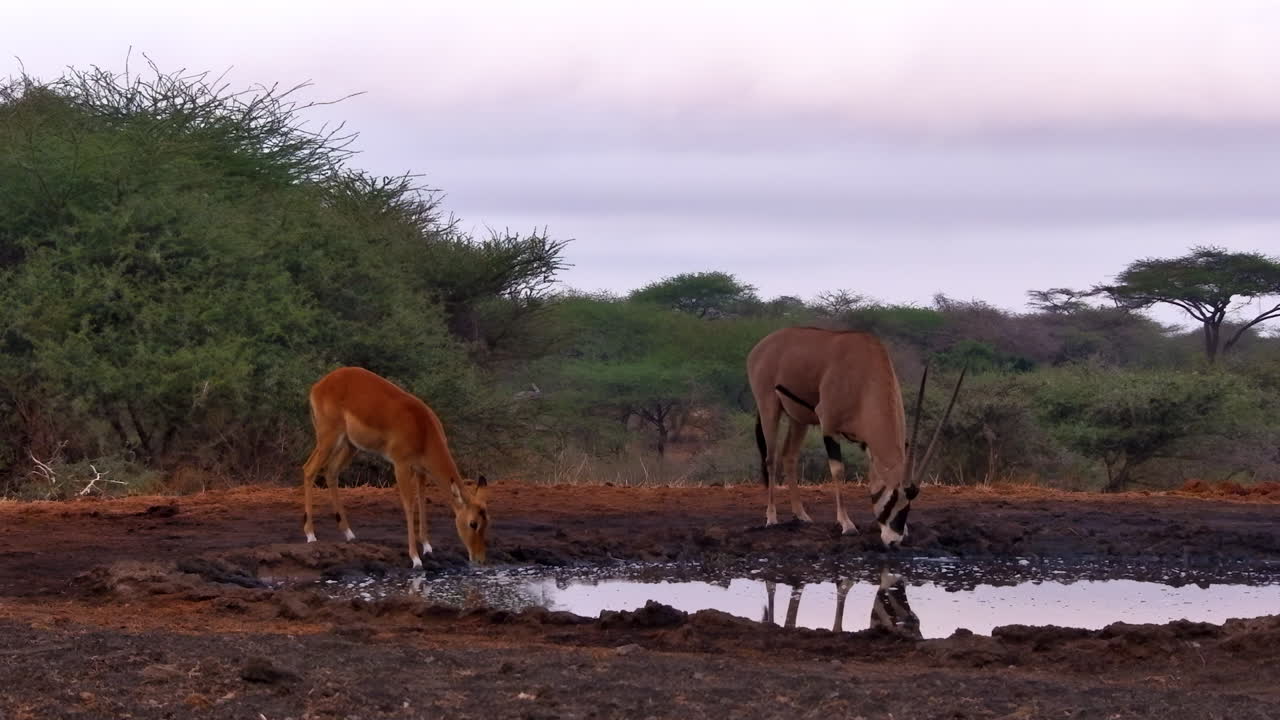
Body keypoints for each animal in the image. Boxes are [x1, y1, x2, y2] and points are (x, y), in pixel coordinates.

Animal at [301, 366, 491, 568]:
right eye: (473, 523)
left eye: (487, 521)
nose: (480, 559)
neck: (423, 429)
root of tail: (319, 385)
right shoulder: (401, 465)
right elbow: (409, 505)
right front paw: (415, 558)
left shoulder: (421, 470)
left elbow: (422, 501)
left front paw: (427, 547)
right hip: (328, 439)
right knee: (309, 469)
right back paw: (310, 535)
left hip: (350, 445)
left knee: (331, 471)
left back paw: (349, 533)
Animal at [747, 327, 965, 547]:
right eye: (893, 496)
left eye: (908, 501)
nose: (894, 540)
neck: (865, 375)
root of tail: (761, 346)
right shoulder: (829, 427)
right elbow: (838, 470)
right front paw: (847, 524)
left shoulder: (867, 443)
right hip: (769, 407)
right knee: (771, 458)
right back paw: (771, 518)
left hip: (799, 419)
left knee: (789, 456)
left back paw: (801, 515)